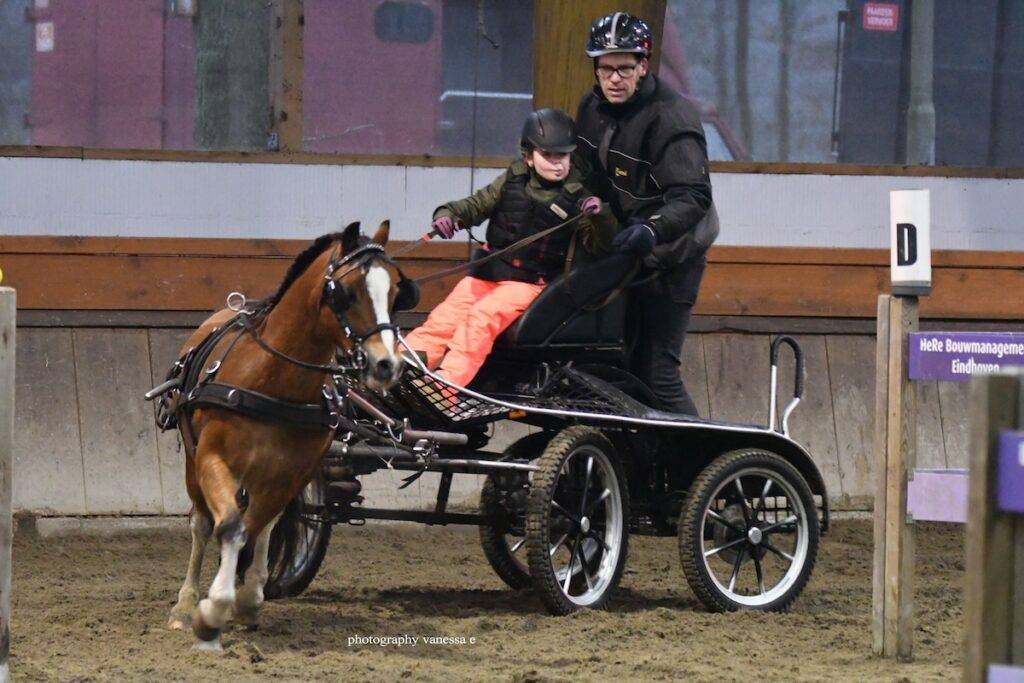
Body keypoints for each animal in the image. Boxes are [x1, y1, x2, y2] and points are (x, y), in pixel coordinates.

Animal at [161, 220, 414, 650]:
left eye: (396, 291)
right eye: (346, 291)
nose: (387, 365)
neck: (273, 379)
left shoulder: (292, 473)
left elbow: (253, 528)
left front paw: (241, 601)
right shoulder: (212, 458)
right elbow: (229, 527)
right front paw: (209, 612)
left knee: (263, 524)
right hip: (194, 461)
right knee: (202, 524)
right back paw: (185, 604)